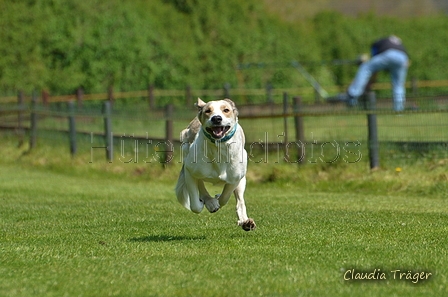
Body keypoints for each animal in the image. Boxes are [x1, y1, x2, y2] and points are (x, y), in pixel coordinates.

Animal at [177, 98, 258, 230]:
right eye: (208, 111)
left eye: (226, 110)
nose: (216, 118)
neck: (219, 148)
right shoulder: (190, 170)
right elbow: (195, 204)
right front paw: (209, 203)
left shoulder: (235, 178)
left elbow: (225, 197)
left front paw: (217, 199)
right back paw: (209, 202)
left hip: (242, 178)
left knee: (240, 200)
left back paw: (245, 222)